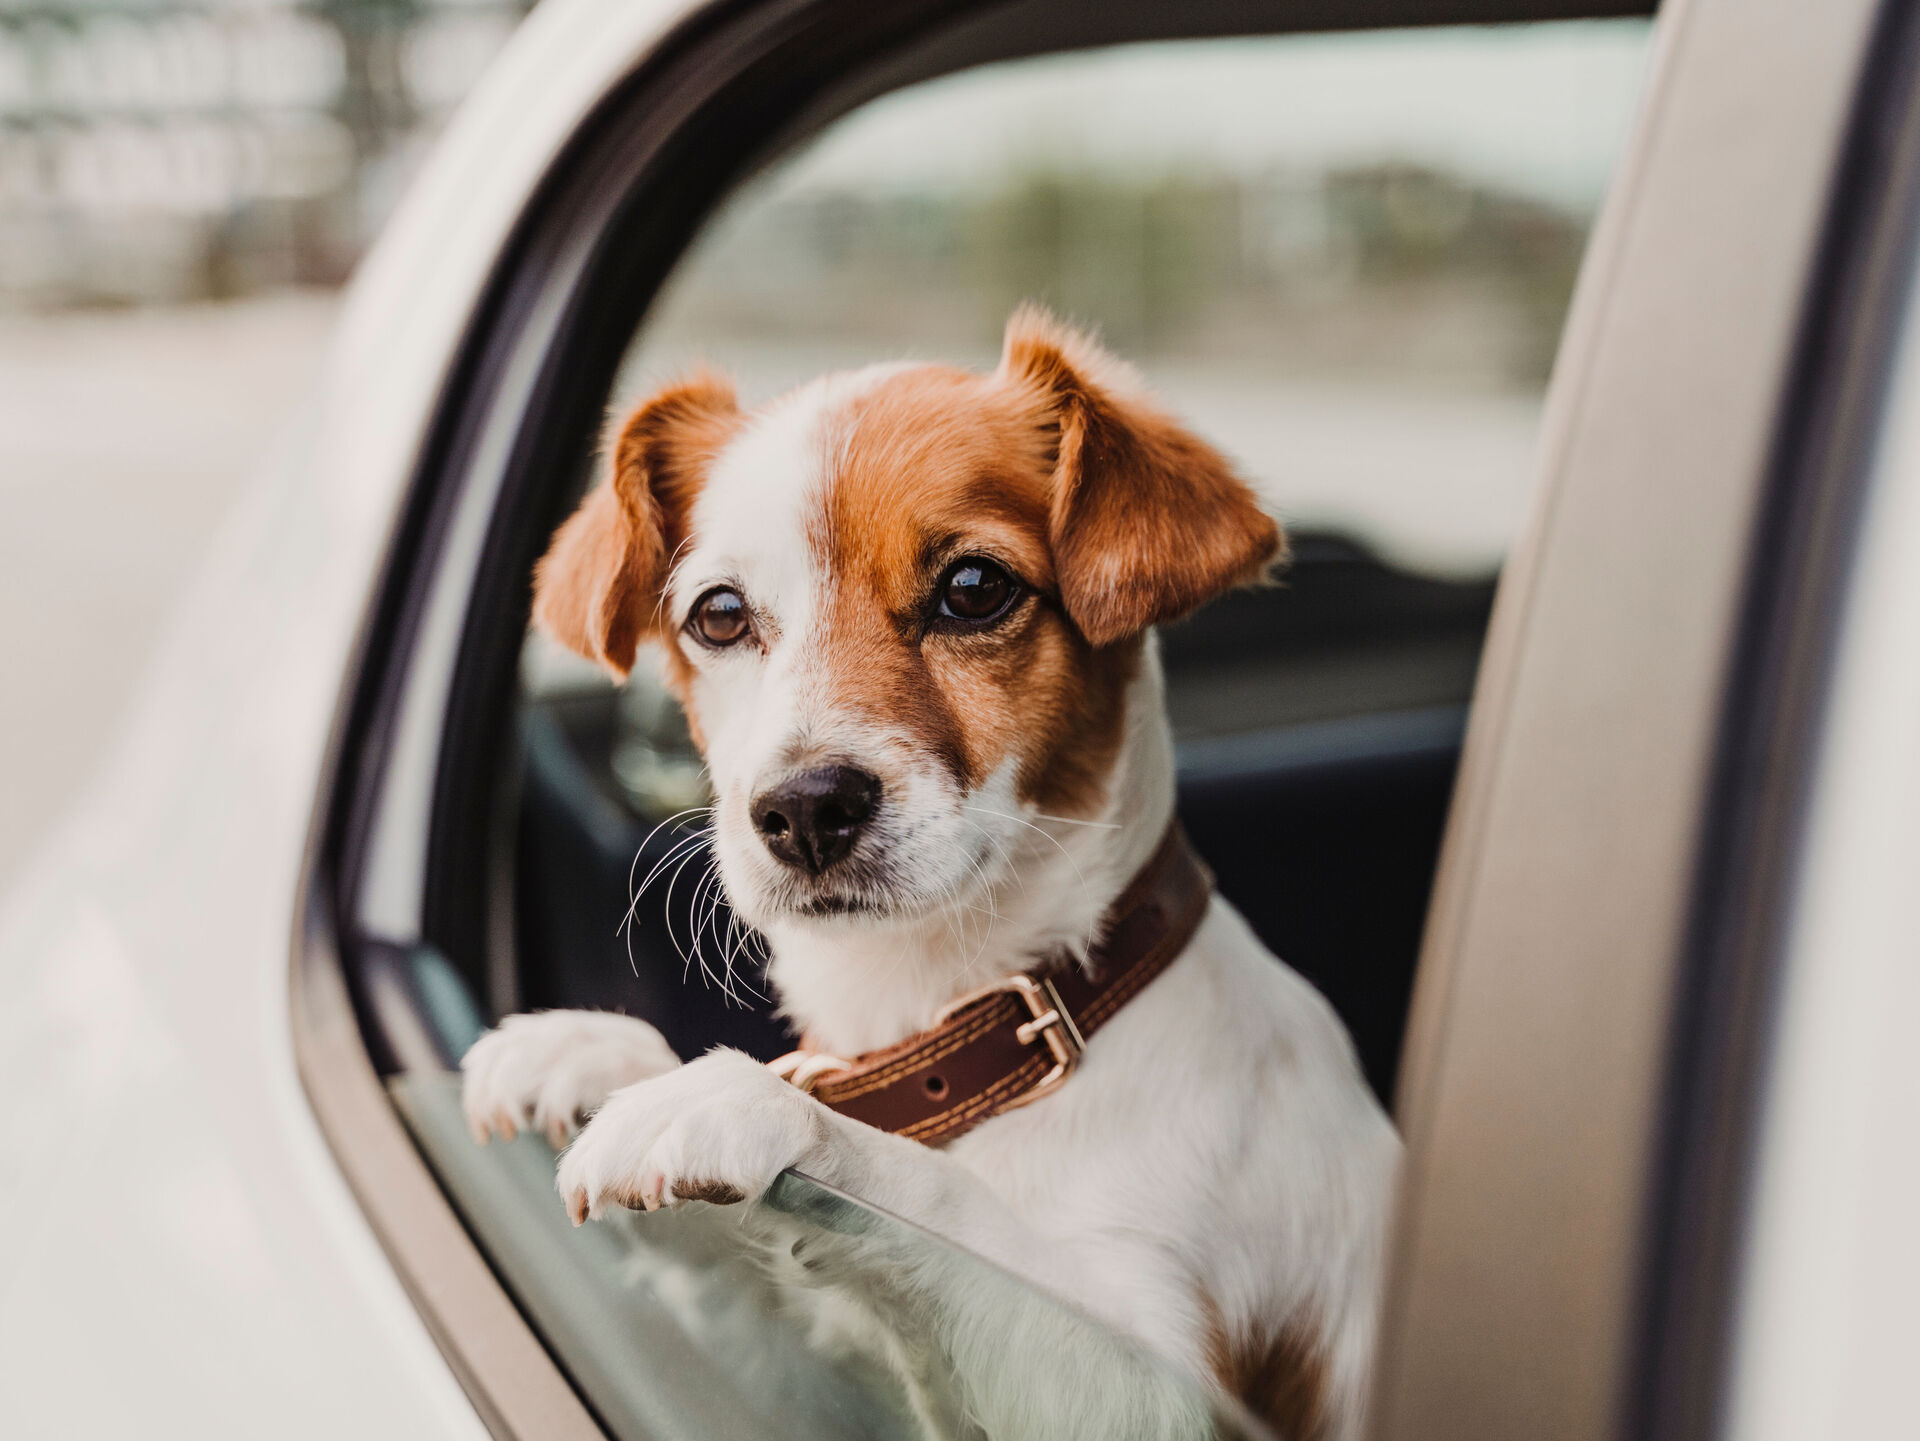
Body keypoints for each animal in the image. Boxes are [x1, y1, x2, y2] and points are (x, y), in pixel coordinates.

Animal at [458, 307, 1405, 1441]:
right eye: (720, 614)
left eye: (974, 588)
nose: (804, 808)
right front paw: (594, 1052)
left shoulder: (1167, 1394)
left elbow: (937, 1202)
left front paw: (736, 1097)